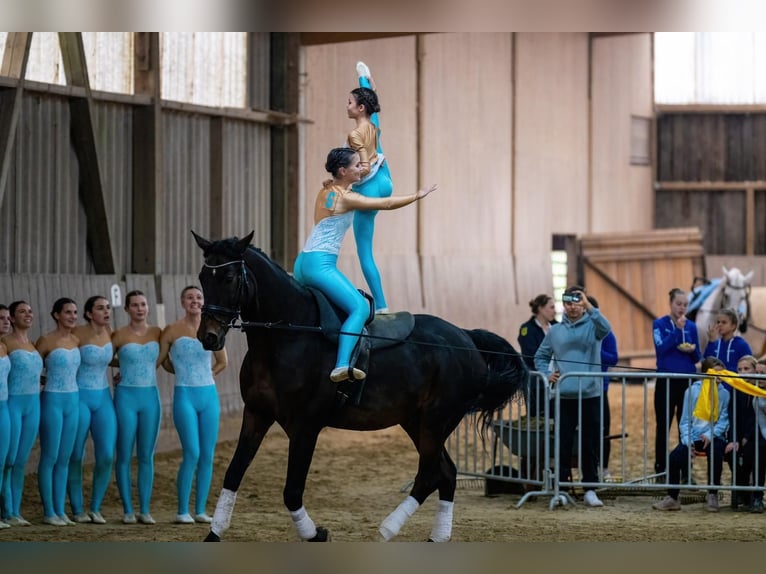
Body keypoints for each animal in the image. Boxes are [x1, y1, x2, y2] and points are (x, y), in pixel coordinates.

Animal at [194, 232, 528, 544]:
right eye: (201, 277)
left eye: (228, 278)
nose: (208, 337)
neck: (285, 337)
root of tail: (466, 337)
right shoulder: (257, 413)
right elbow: (233, 473)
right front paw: (214, 534)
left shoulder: (305, 426)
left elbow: (292, 490)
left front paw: (315, 534)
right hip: (416, 421)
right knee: (445, 473)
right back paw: (435, 537)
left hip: (436, 420)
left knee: (430, 474)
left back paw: (388, 529)